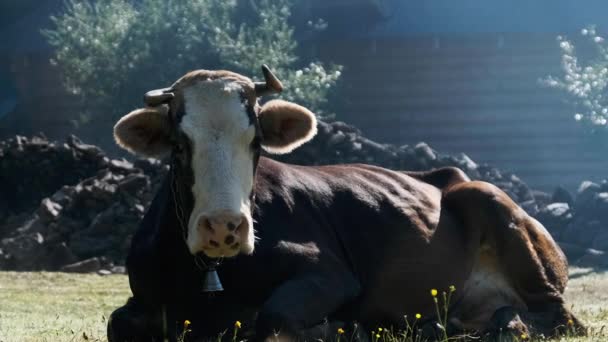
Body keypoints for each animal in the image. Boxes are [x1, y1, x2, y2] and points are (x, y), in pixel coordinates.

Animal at [108, 65, 584, 340]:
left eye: (256, 142)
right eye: (179, 145)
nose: (224, 226)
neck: (211, 278)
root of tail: (450, 176)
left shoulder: (331, 274)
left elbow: (273, 318)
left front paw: (337, 328)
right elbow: (117, 323)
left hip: (494, 208)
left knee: (557, 317)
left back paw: (509, 327)